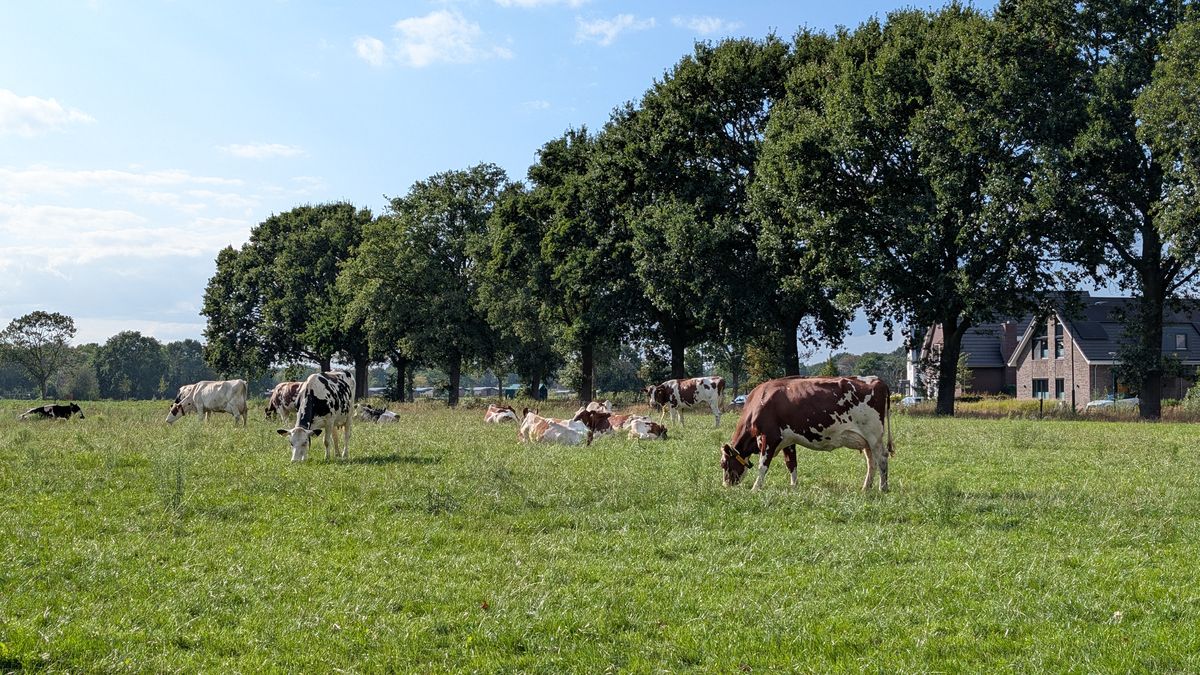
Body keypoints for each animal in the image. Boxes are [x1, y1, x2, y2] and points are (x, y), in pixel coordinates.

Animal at [719, 376, 893, 492]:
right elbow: (791, 463)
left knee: (882, 459)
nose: (725, 485)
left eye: (723, 463)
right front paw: (793, 487)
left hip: (874, 435)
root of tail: (877, 380)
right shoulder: (788, 440)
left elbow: (763, 466)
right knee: (871, 462)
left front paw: (755, 488)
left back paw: (883, 488)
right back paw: (866, 487)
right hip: (866, 440)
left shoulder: (769, 437)